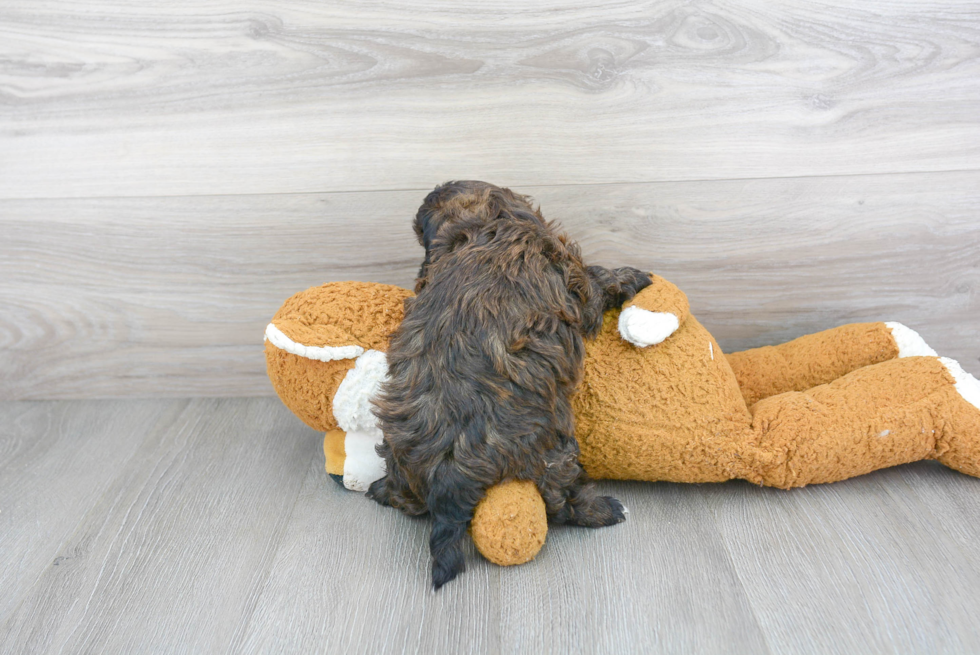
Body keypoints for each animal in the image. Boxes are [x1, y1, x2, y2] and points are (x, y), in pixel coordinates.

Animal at [368, 182, 652, 592]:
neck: (485, 224)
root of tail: (448, 481)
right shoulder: (573, 277)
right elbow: (598, 281)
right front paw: (631, 276)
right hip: (555, 454)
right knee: (563, 502)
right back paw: (606, 510)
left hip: (398, 449)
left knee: (404, 496)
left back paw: (380, 490)